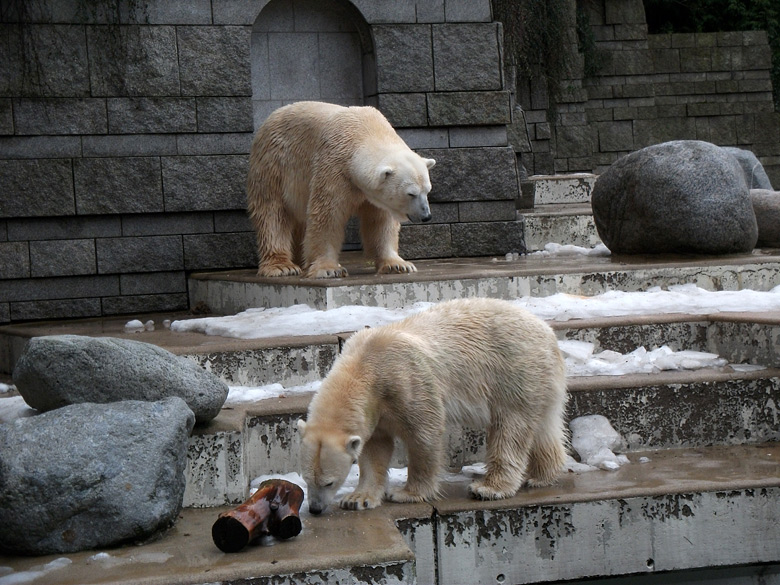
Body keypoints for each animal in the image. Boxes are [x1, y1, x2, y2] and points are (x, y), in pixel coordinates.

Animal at [247, 102, 436, 278]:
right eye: (411, 193)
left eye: (427, 190)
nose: (426, 216)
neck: (366, 131)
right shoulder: (334, 167)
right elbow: (327, 215)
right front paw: (329, 269)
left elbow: (381, 221)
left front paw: (397, 265)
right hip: (274, 166)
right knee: (272, 213)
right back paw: (282, 266)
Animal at [298, 296, 568, 512]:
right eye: (306, 479)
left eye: (329, 482)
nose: (315, 508)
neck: (365, 364)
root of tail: (548, 333)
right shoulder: (374, 409)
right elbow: (375, 447)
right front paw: (357, 499)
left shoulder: (405, 381)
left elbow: (423, 434)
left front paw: (407, 493)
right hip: (537, 381)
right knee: (544, 427)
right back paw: (541, 476)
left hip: (514, 371)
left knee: (510, 429)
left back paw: (488, 488)